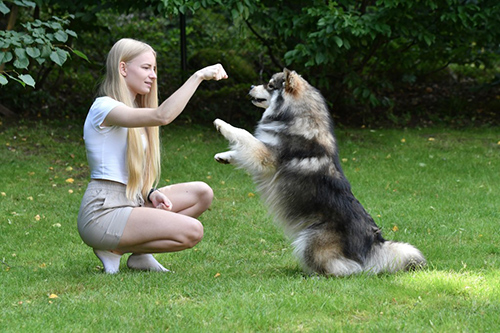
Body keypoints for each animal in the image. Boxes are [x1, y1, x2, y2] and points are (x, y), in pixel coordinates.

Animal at [214, 68, 426, 274]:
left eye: (270, 85)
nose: (251, 86)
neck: (297, 116)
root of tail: (375, 242)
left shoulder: (267, 156)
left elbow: (244, 135)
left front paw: (222, 124)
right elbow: (242, 148)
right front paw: (224, 156)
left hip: (309, 241)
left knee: (349, 268)